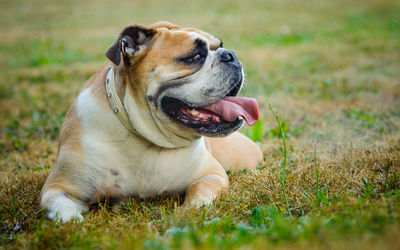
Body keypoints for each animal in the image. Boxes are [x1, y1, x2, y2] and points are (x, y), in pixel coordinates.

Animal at [40, 20, 264, 222]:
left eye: (220, 46)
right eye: (194, 57)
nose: (230, 55)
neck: (145, 136)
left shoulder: (212, 174)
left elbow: (200, 189)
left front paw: (189, 211)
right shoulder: (57, 188)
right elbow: (63, 209)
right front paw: (73, 223)